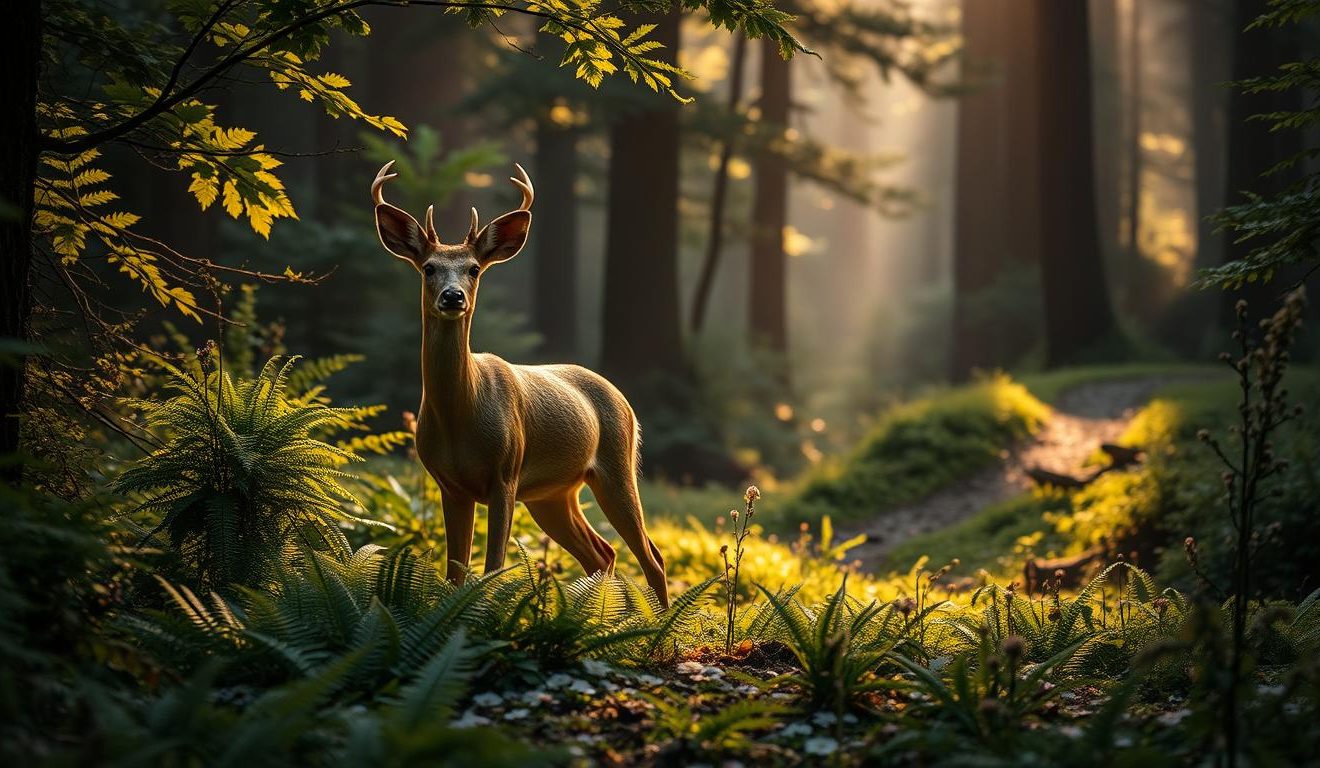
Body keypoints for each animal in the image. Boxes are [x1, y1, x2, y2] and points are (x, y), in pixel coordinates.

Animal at [371, 161, 669, 608]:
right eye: (429, 268)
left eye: (474, 269)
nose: (453, 297)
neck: (460, 415)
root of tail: (624, 401)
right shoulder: (449, 484)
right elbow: (455, 572)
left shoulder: (505, 474)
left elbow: (492, 569)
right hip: (552, 495)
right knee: (602, 552)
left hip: (617, 467)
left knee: (651, 556)